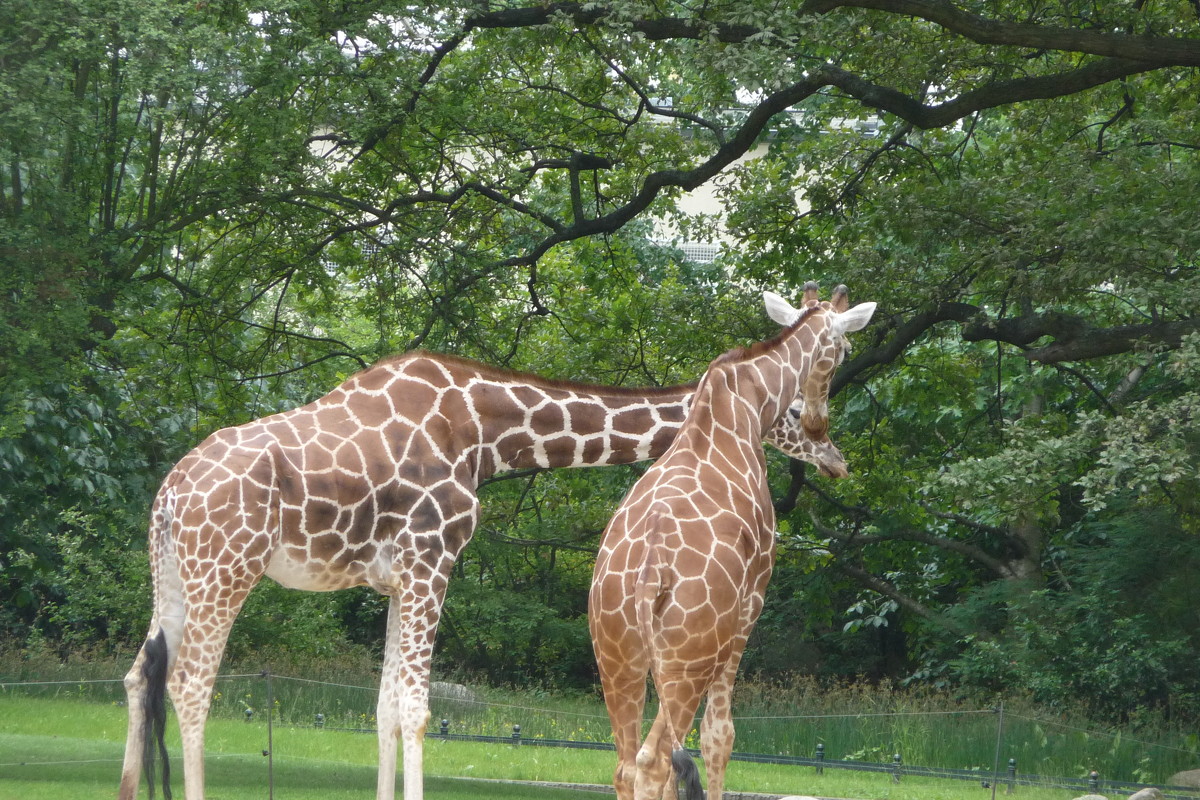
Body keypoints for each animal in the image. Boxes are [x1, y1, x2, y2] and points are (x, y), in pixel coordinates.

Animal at [114, 345, 844, 800]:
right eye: (795, 408)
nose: (835, 456)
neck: (484, 432)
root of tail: (170, 496)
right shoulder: (432, 557)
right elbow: (416, 708)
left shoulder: (395, 579)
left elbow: (385, 707)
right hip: (225, 570)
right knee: (191, 684)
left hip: (172, 574)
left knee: (139, 675)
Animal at [588, 284, 878, 796]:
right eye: (844, 349)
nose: (829, 447)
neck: (743, 402)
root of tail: (647, 576)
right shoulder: (751, 605)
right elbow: (719, 736)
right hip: (691, 655)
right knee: (656, 758)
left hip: (617, 654)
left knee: (626, 763)